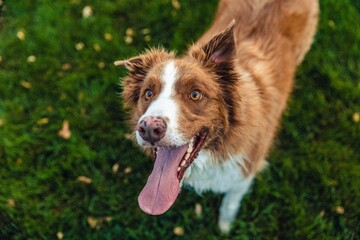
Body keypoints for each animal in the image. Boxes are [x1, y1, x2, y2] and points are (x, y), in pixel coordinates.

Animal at [114, 0, 318, 232]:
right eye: (148, 93)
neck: (219, 147)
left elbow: (230, 201)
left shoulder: (245, 172)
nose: (149, 129)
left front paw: (225, 226)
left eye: (195, 94)